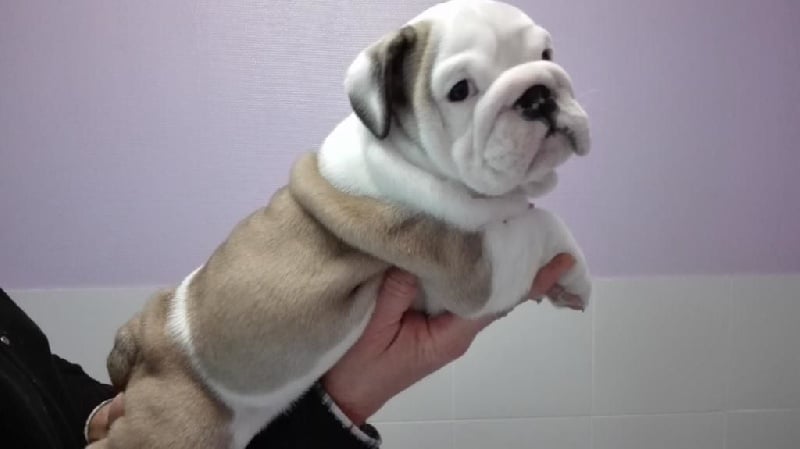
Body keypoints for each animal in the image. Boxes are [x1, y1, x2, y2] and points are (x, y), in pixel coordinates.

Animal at [89, 1, 593, 448]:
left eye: (546, 54)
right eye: (460, 90)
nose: (537, 93)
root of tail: (143, 335)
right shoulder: (470, 267)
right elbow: (544, 224)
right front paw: (577, 275)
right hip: (176, 427)